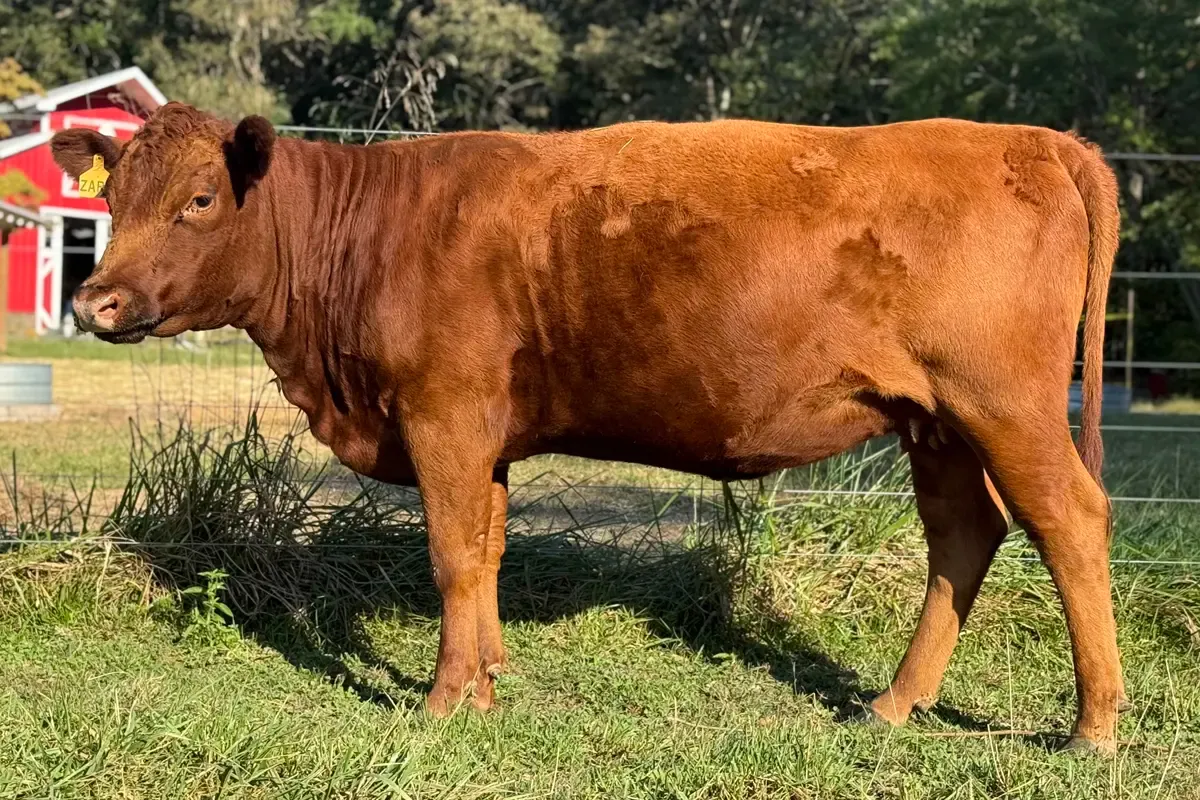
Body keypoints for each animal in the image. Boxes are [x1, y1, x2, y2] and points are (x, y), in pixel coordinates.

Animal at [51, 102, 1125, 753]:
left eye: (198, 200)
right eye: (113, 196)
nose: (96, 301)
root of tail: (1029, 138)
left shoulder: (443, 415)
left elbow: (450, 555)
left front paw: (441, 700)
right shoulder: (480, 436)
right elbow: (485, 551)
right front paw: (486, 684)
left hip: (1005, 404)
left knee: (1069, 521)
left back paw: (1094, 723)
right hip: (934, 421)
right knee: (965, 536)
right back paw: (893, 705)